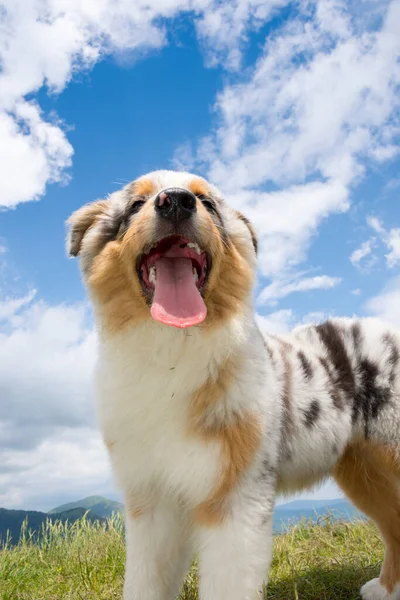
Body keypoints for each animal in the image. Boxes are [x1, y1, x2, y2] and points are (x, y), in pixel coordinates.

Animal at [67, 170, 400, 600]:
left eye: (207, 203)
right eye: (136, 204)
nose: (176, 201)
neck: (173, 352)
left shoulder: (235, 497)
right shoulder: (152, 498)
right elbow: (144, 581)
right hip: (362, 468)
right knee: (393, 522)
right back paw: (386, 588)